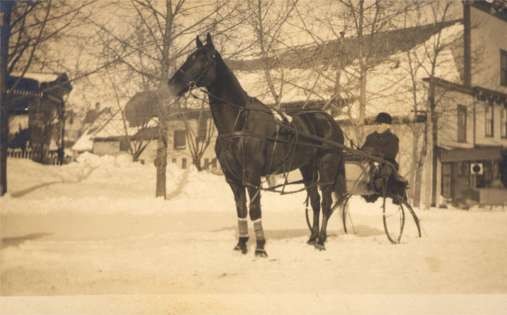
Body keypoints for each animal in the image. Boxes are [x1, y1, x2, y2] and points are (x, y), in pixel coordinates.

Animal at [169, 34, 348, 256]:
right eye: (190, 57)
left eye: (202, 58)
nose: (173, 84)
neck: (239, 123)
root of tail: (331, 122)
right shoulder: (234, 179)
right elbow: (241, 209)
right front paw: (242, 243)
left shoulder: (252, 175)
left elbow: (255, 210)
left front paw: (260, 247)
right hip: (307, 168)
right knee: (314, 201)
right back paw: (312, 238)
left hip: (327, 167)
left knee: (325, 202)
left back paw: (321, 240)